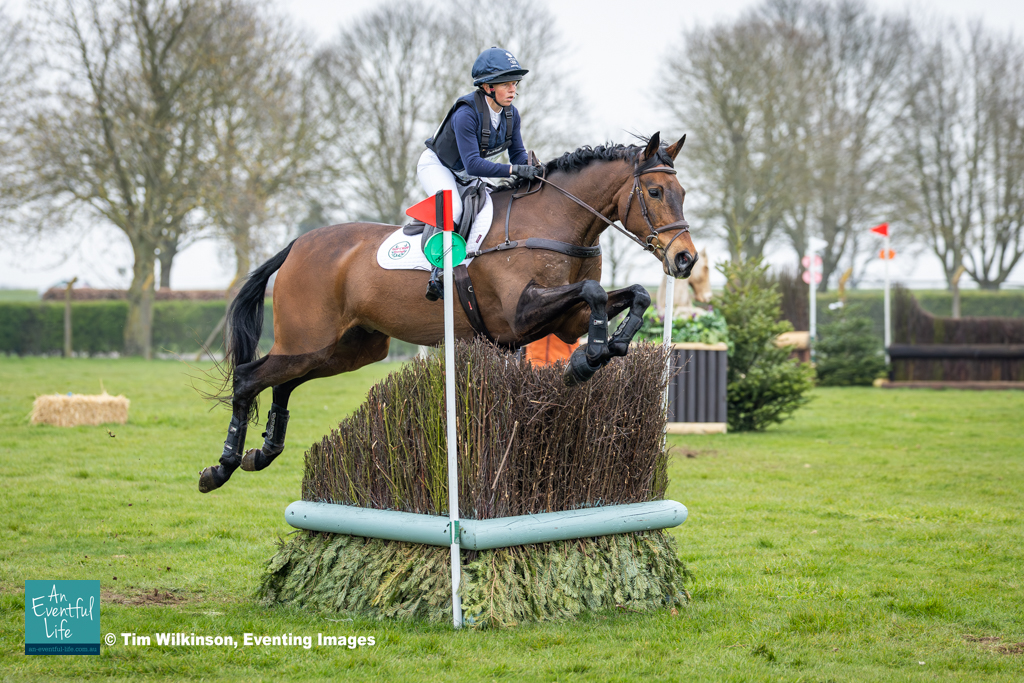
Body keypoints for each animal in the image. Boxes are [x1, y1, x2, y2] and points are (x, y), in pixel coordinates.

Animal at [199, 132, 699, 493]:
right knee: (248, 377)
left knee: (282, 382)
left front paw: (605, 349)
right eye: (655, 191)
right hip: (311, 341)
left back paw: (262, 453)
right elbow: (594, 291)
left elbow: (634, 295)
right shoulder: (520, 315)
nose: (685, 260)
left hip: (346, 349)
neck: (556, 224)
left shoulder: (564, 320)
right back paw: (220, 468)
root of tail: (297, 245)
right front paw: (587, 359)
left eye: (683, 192)